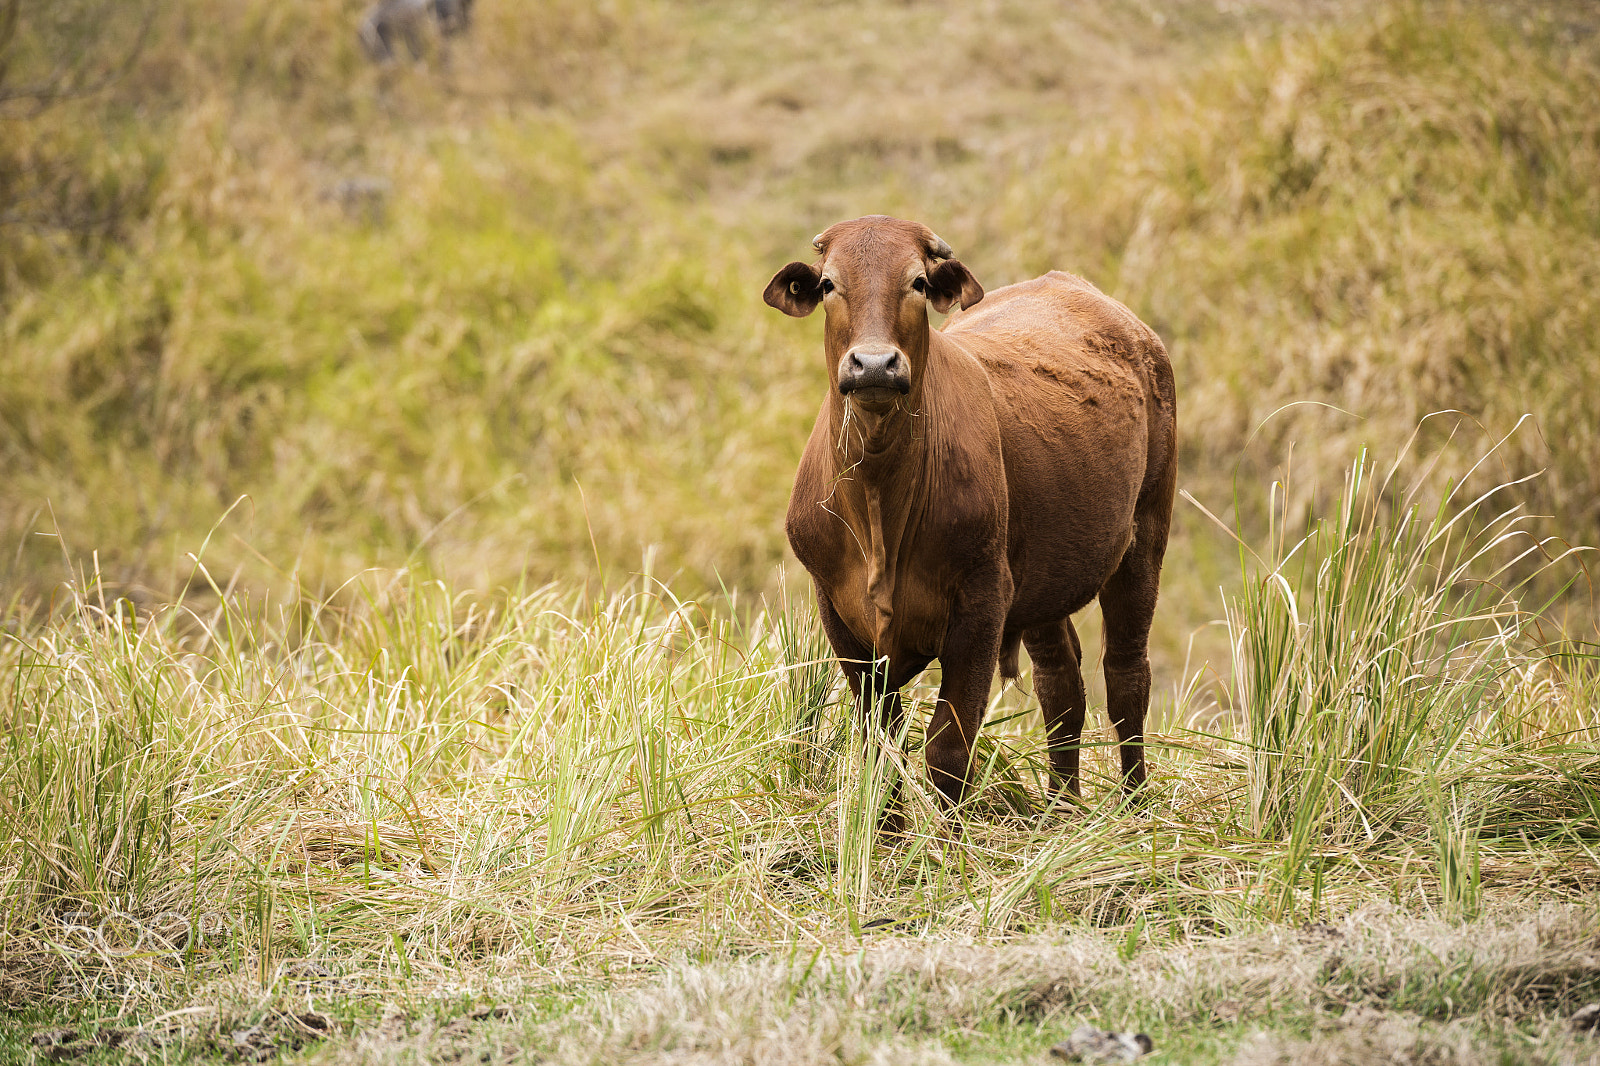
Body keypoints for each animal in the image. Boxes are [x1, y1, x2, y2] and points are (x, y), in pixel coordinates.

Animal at [765, 215, 1177, 828]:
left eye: (916, 281)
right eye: (830, 284)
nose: (874, 365)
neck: (881, 502)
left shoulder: (981, 603)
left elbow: (947, 747)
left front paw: (947, 841)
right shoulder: (839, 614)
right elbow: (878, 743)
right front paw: (886, 835)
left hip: (1145, 534)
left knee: (1126, 675)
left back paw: (1133, 805)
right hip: (1044, 574)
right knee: (1062, 682)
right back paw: (1060, 805)